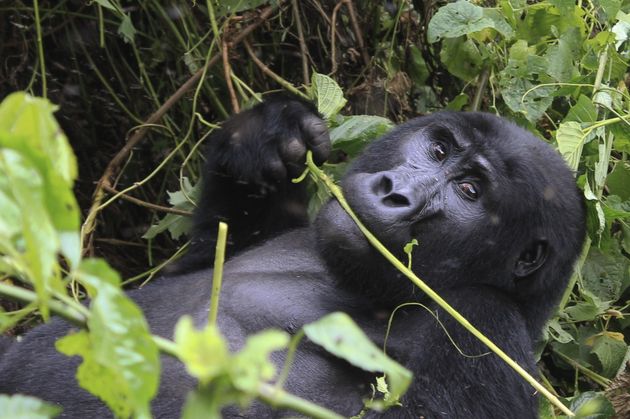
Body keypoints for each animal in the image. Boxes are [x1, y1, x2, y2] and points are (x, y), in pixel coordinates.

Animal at [0, 97, 588, 418]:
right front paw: (268, 132)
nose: (394, 192)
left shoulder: (487, 326)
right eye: (439, 149)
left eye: (469, 190)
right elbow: (198, 258)